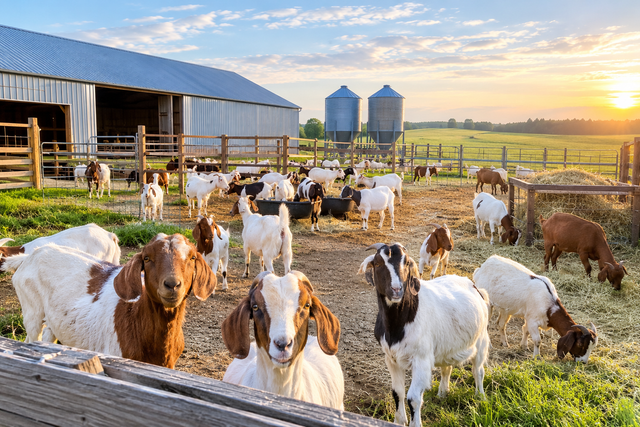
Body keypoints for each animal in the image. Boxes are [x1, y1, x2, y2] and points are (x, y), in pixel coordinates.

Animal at [2, 234, 216, 368]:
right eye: (147, 258)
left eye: (192, 258)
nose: (172, 284)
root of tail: (28, 256)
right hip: (31, 308)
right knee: (31, 336)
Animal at [358, 243, 489, 427]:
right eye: (377, 263)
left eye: (406, 263)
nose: (397, 289)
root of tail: (475, 286)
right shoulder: (391, 358)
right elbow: (397, 392)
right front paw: (399, 420)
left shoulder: (421, 359)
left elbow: (413, 398)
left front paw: (415, 423)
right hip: (447, 345)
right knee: (447, 367)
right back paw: (442, 393)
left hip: (481, 339)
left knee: (478, 370)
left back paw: (481, 397)